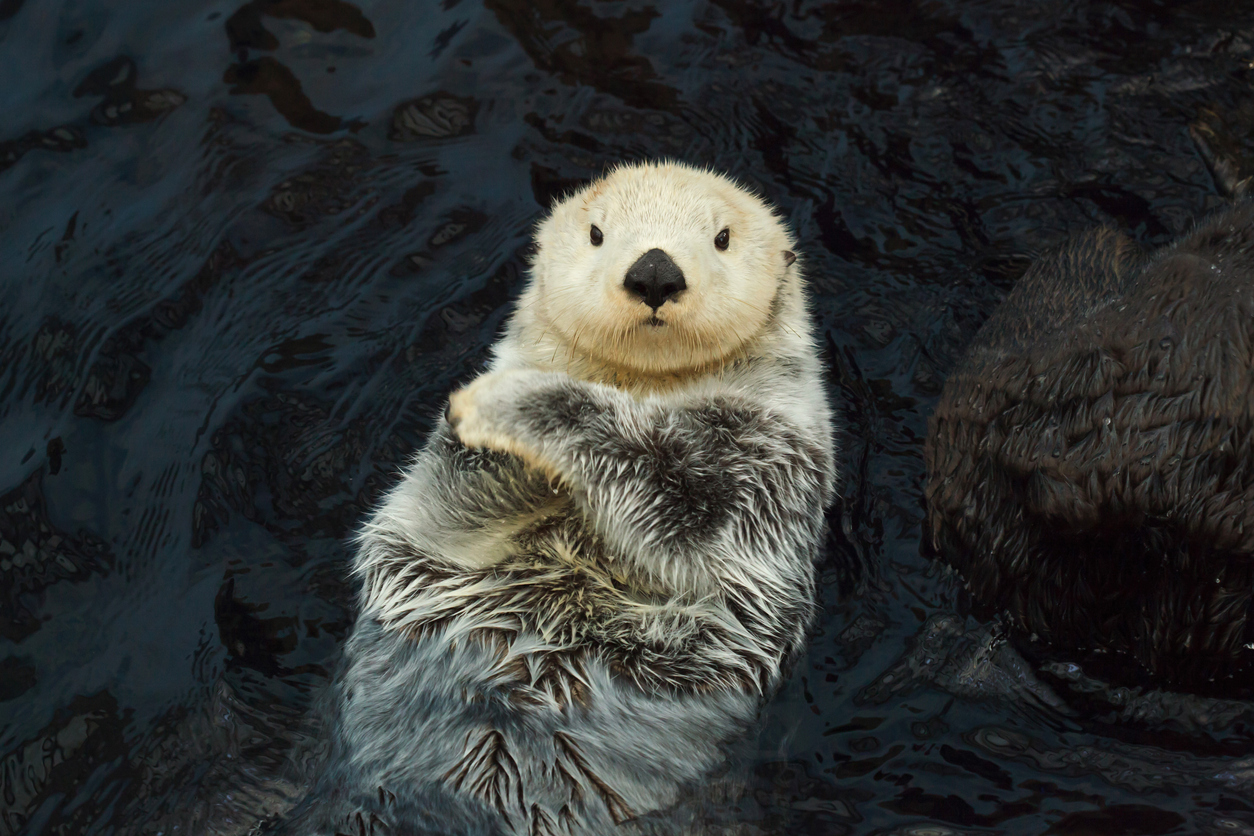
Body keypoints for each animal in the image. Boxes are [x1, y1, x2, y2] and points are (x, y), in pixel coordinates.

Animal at [277, 161, 836, 834]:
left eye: (722, 237)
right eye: (597, 233)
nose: (655, 271)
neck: (643, 387)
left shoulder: (766, 465)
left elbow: (682, 506)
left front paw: (515, 402)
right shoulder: (436, 514)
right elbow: (446, 507)